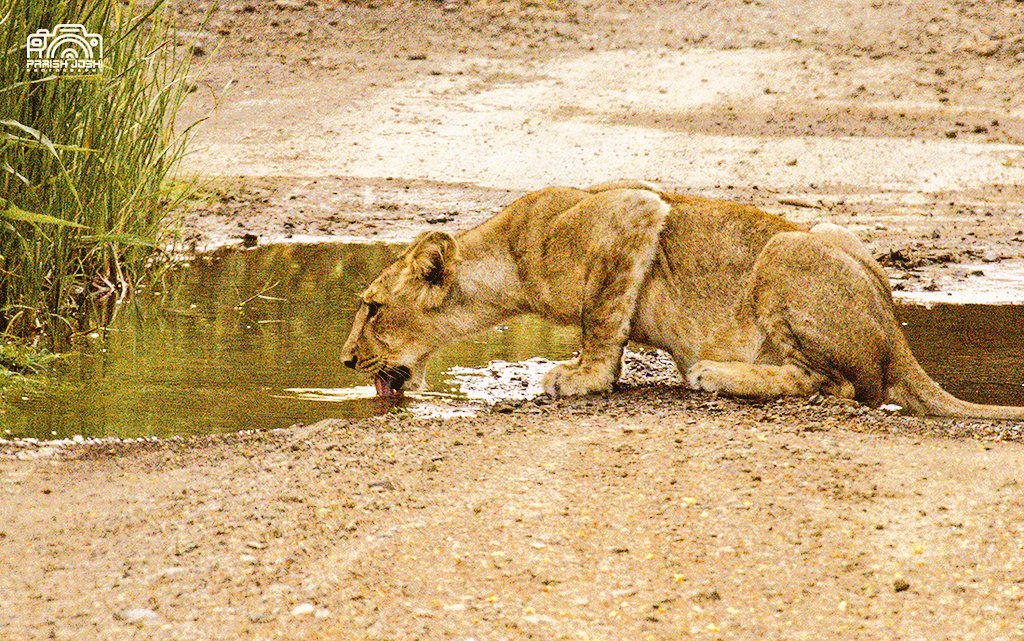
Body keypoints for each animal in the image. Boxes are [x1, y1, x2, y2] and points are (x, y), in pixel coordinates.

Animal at [340, 181, 1024, 419]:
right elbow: (611, 322)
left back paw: (715, 374)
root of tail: (896, 334)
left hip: (782, 255)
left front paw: (580, 378)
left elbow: (599, 319)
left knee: (839, 386)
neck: (505, 256)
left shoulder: (635, 210)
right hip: (829, 234)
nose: (346, 361)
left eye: (372, 308)